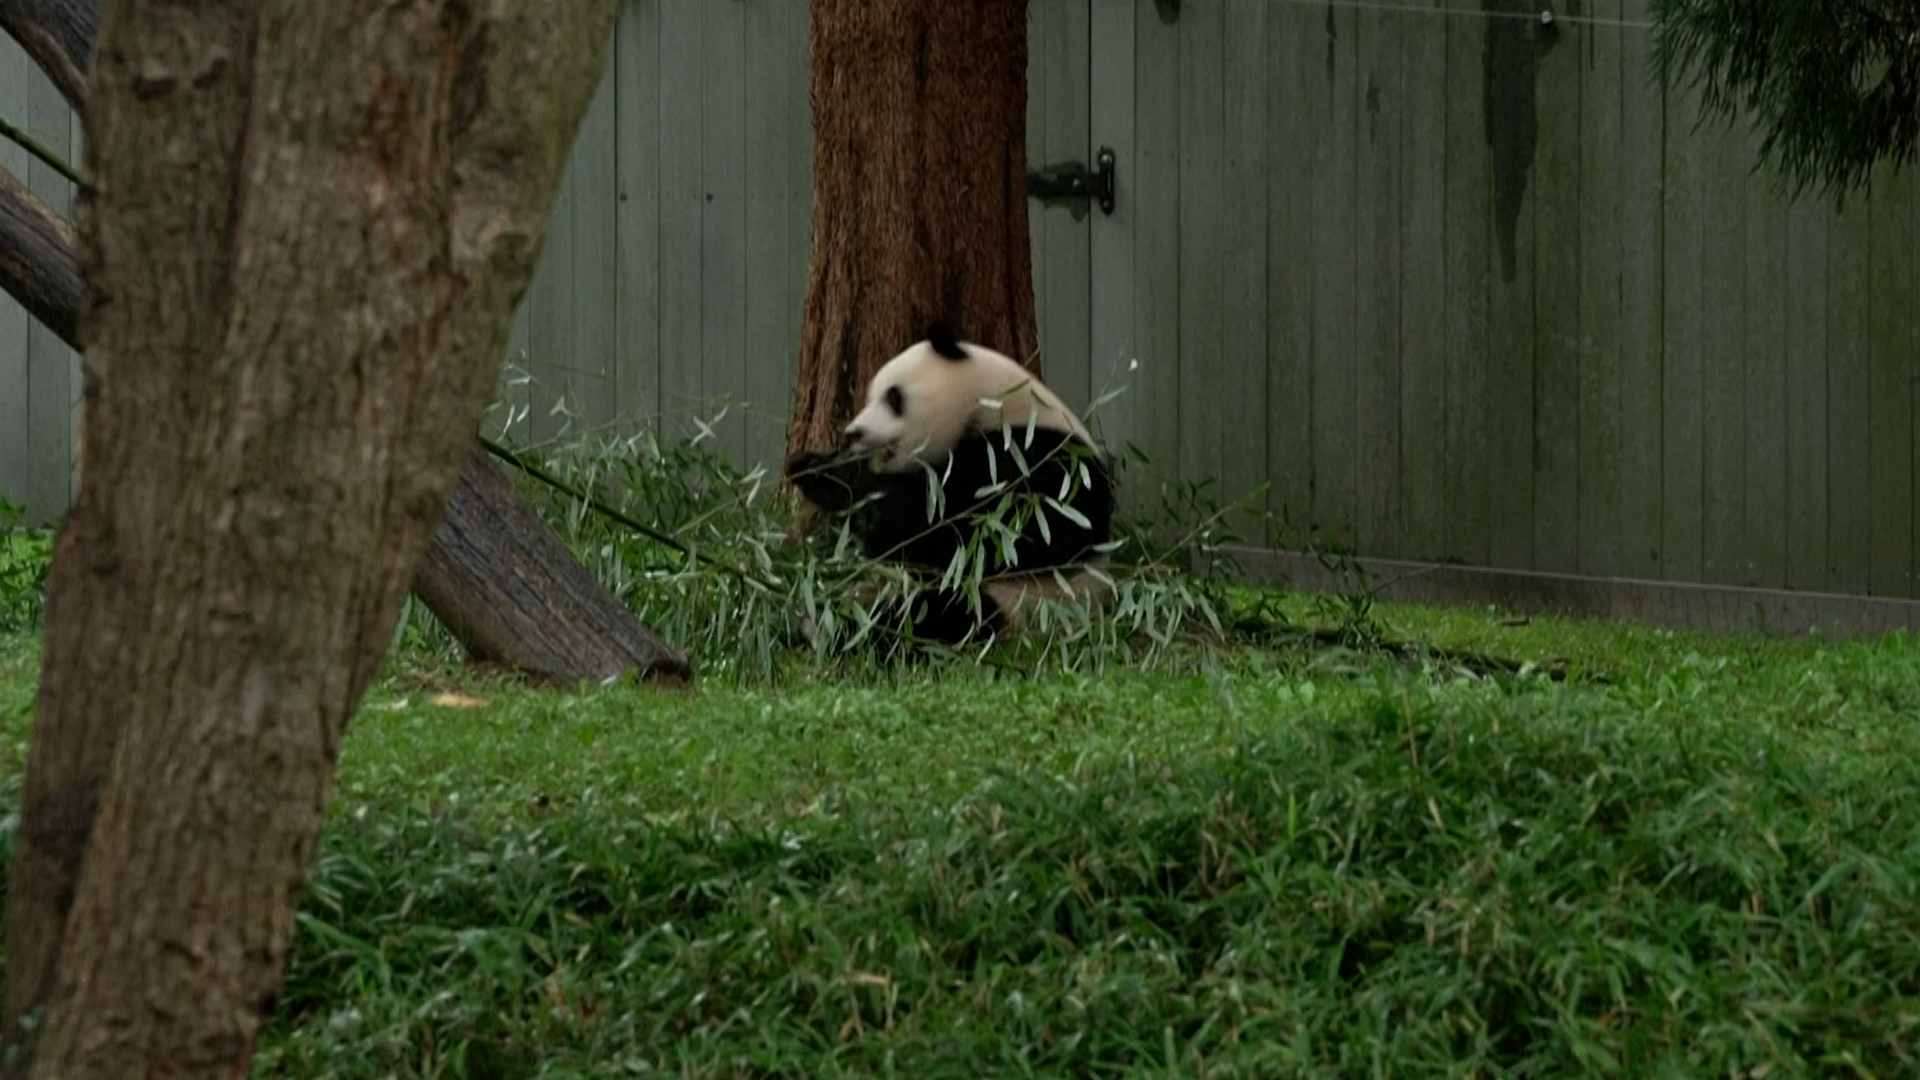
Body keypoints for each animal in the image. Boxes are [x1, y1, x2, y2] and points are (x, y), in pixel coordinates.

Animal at [779, 320, 1113, 645]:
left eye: (894, 397)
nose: (853, 433)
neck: (993, 402)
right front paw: (813, 467)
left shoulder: (1041, 461)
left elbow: (969, 534)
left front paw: (845, 480)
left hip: (1020, 604)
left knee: (937, 614)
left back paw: (831, 629)